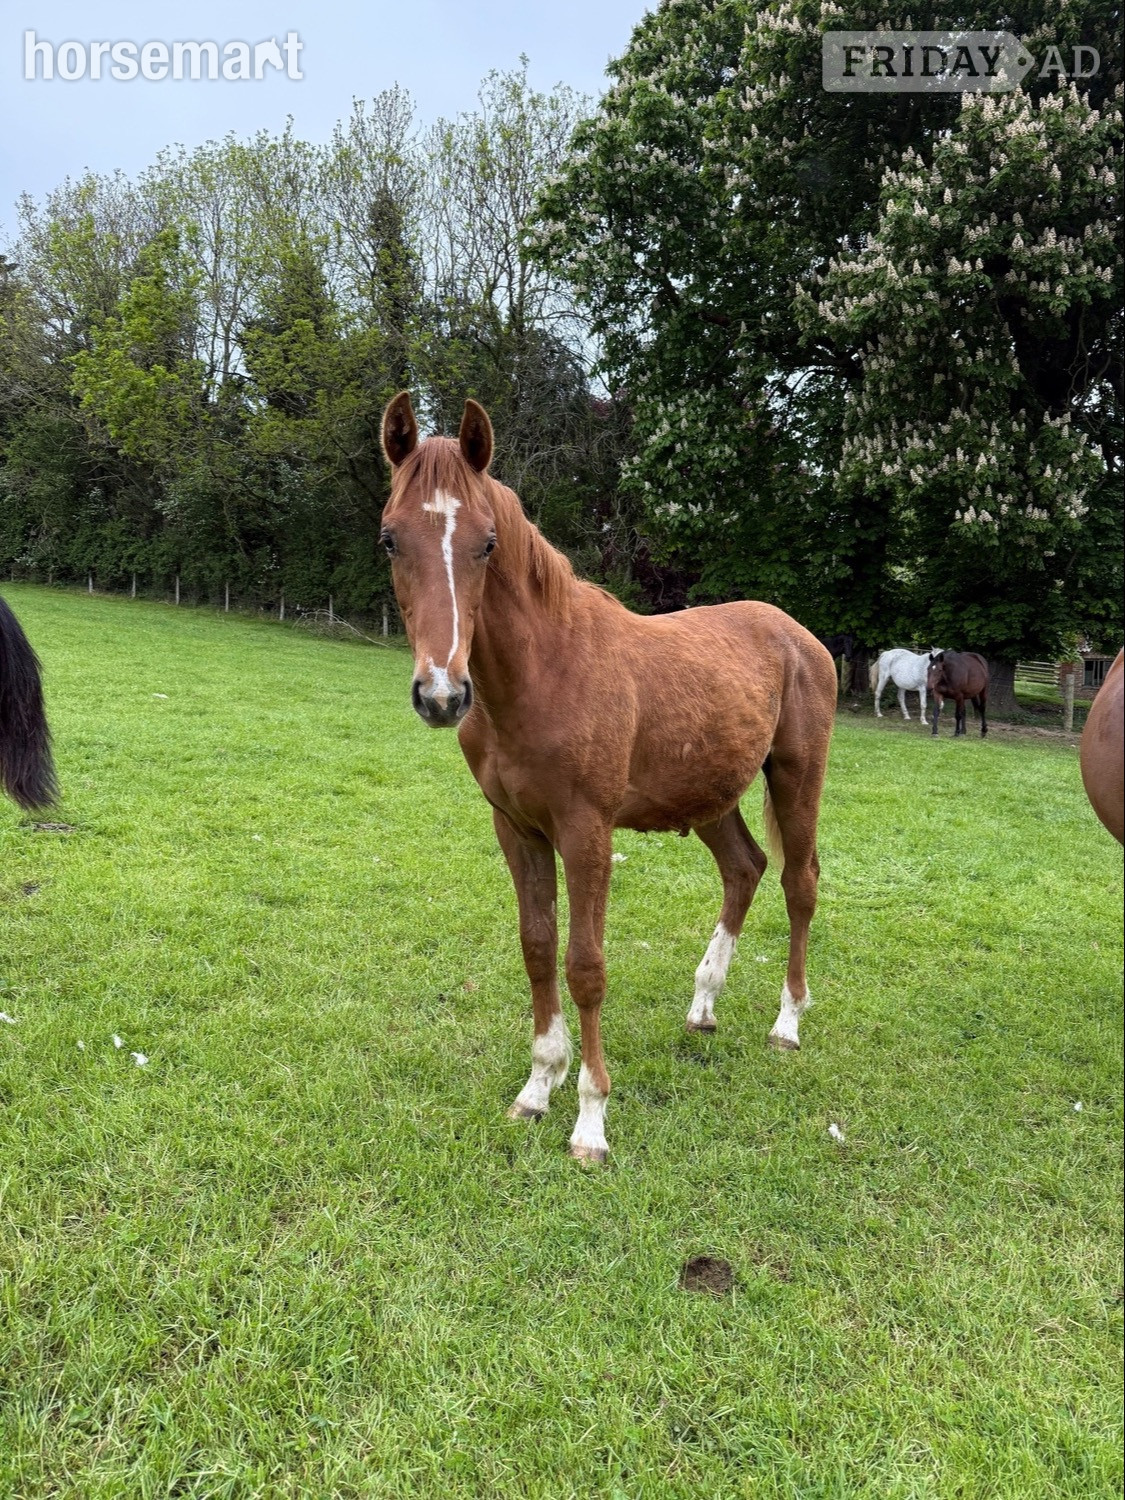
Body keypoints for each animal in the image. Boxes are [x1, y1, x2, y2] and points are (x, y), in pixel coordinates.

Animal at [380, 393, 838, 1164]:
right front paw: (537, 1089)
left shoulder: (586, 833)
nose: (441, 695)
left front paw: (590, 1119)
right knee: (744, 868)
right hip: (710, 796)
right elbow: (538, 950)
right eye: (390, 539)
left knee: (797, 882)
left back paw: (787, 1023)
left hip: (796, 777)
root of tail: (799, 635)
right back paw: (702, 1006)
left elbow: (584, 966)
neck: (544, 674)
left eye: (487, 543)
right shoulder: (518, 829)